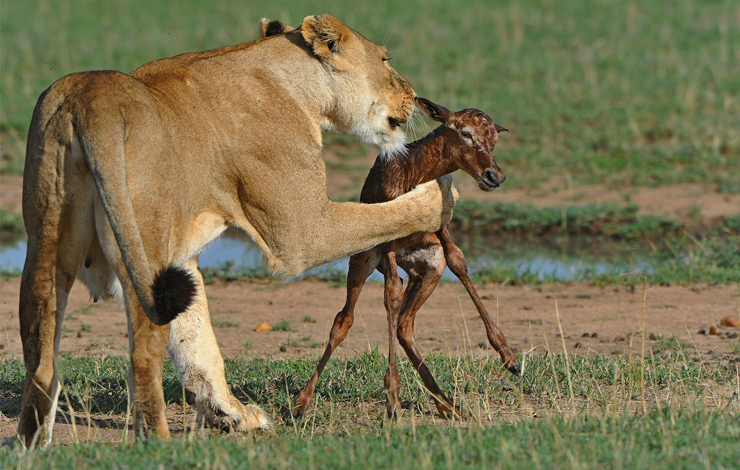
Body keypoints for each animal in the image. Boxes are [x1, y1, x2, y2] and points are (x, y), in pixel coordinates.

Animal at [294, 98, 520, 418]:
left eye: (494, 139)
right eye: (464, 132)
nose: (494, 176)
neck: (413, 171)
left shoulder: (440, 230)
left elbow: (459, 262)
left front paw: (510, 358)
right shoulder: (388, 241)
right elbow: (391, 296)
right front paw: (392, 397)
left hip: (426, 268)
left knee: (405, 324)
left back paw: (447, 405)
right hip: (364, 262)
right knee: (344, 320)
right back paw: (301, 402)